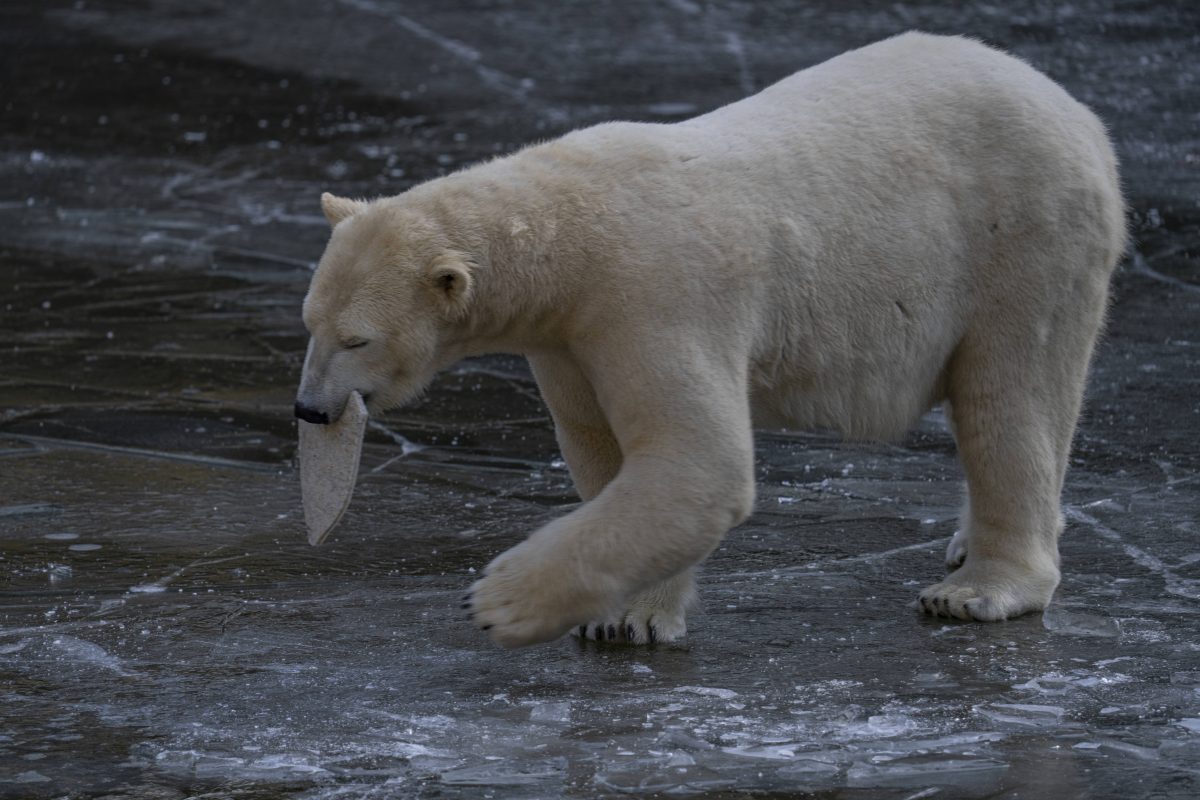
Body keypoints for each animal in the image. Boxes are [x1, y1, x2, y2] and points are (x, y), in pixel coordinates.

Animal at [297, 34, 1123, 652]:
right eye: (308, 322)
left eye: (357, 338)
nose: (309, 409)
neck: (568, 234)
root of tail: (1079, 114)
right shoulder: (567, 340)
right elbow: (608, 454)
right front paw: (625, 617)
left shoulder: (654, 295)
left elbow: (697, 462)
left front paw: (501, 601)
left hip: (1020, 238)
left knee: (1011, 395)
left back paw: (977, 588)